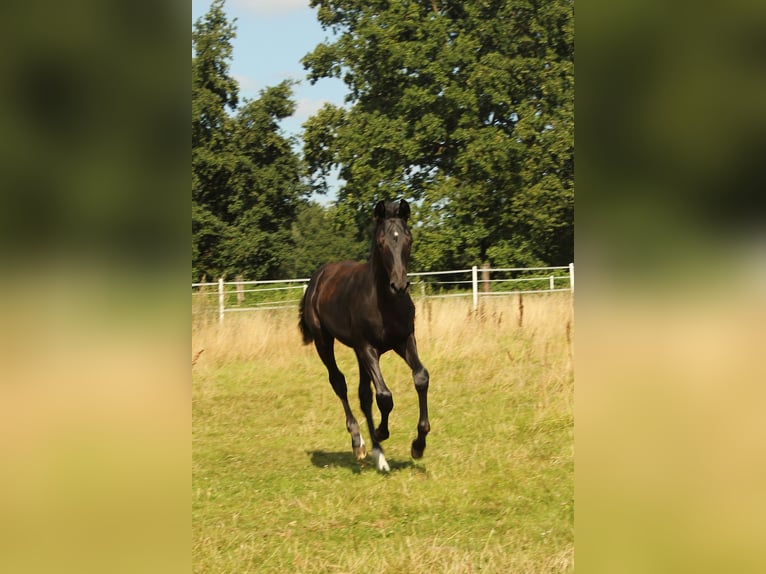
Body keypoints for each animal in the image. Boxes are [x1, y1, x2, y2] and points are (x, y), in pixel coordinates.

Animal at [298, 199, 430, 472]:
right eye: (381, 242)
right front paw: (381, 432)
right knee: (339, 383)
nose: (399, 285)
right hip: (325, 342)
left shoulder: (404, 340)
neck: (385, 302)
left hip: (359, 354)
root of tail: (318, 277)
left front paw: (418, 445)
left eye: (408, 238)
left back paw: (378, 454)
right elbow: (385, 396)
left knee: (363, 395)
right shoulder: (368, 347)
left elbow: (421, 377)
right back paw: (359, 442)